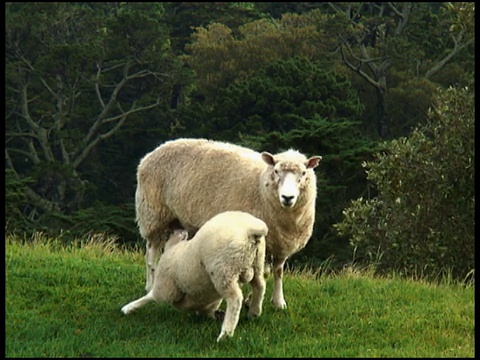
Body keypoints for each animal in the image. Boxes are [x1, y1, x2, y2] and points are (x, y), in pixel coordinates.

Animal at [120, 211, 268, 344]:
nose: (180, 228)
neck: (174, 248)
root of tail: (250, 230)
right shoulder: (208, 298)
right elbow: (209, 308)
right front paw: (213, 315)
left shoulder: (166, 287)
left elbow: (151, 296)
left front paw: (129, 307)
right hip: (257, 263)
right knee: (260, 285)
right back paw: (254, 312)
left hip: (223, 270)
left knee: (235, 299)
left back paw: (225, 334)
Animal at [136, 138, 322, 310]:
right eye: (276, 171)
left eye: (304, 173)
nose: (287, 197)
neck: (260, 187)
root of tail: (153, 152)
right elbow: (262, 273)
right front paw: (253, 300)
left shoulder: (281, 244)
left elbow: (277, 272)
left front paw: (277, 301)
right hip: (154, 215)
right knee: (151, 254)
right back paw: (150, 285)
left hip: (175, 220)